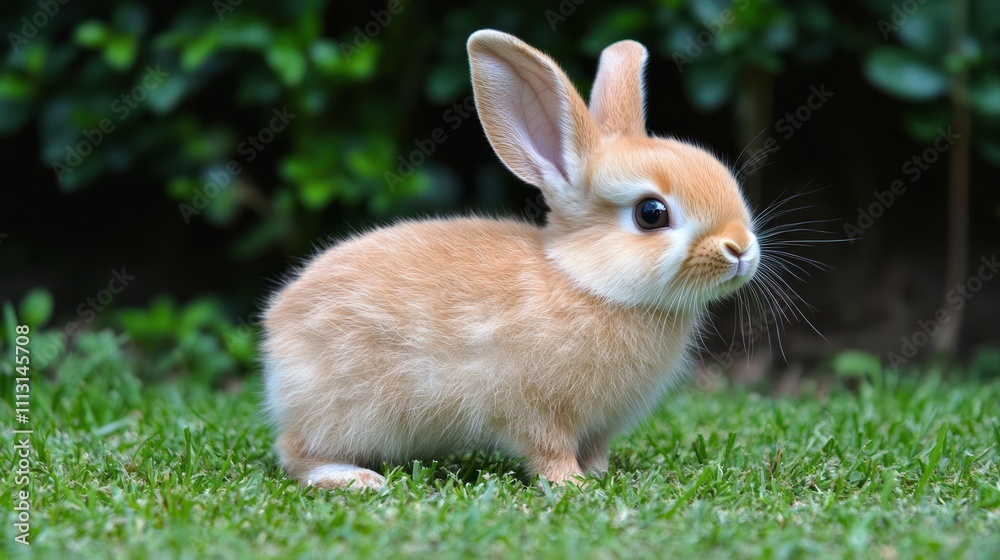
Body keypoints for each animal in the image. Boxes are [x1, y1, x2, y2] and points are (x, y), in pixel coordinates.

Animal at [261, 29, 760, 490]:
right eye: (651, 214)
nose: (740, 249)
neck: (586, 280)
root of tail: (277, 326)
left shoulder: (597, 426)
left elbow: (594, 449)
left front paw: (601, 474)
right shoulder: (535, 409)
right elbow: (548, 450)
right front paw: (573, 486)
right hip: (348, 413)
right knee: (293, 452)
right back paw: (356, 478)